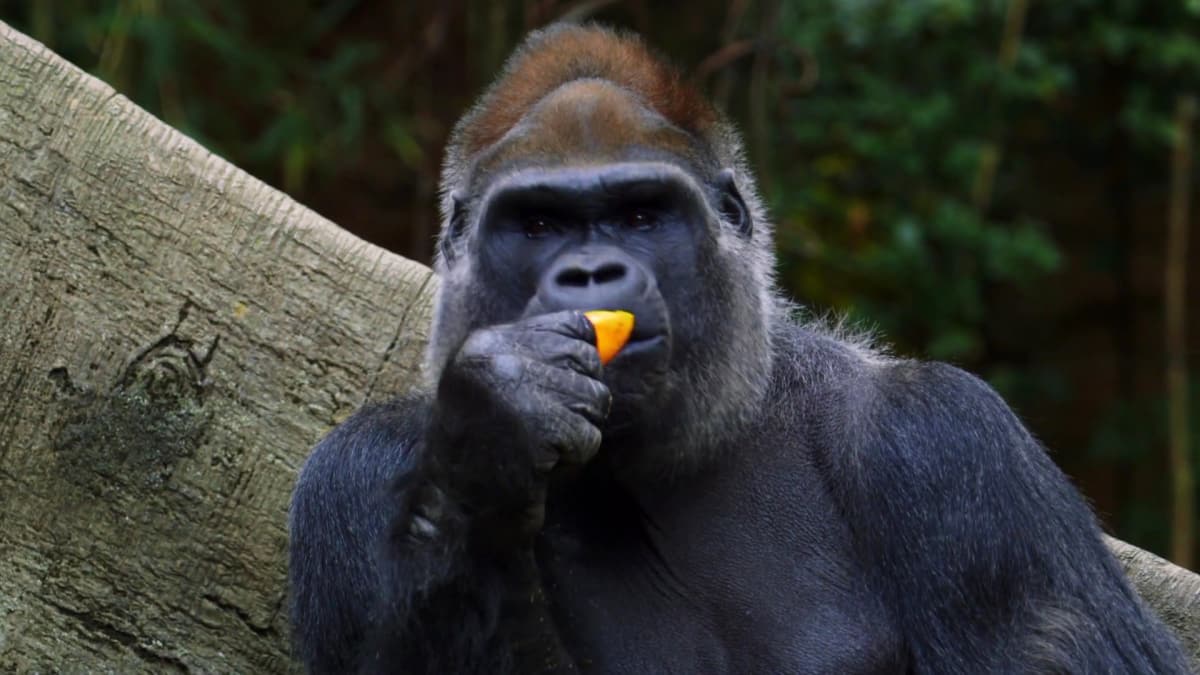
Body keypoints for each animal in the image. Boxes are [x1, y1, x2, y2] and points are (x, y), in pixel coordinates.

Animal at [287, 23, 1191, 674]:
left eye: (642, 213)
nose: (591, 273)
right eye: (538, 222)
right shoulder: (353, 466)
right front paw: (491, 436)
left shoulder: (948, 438)